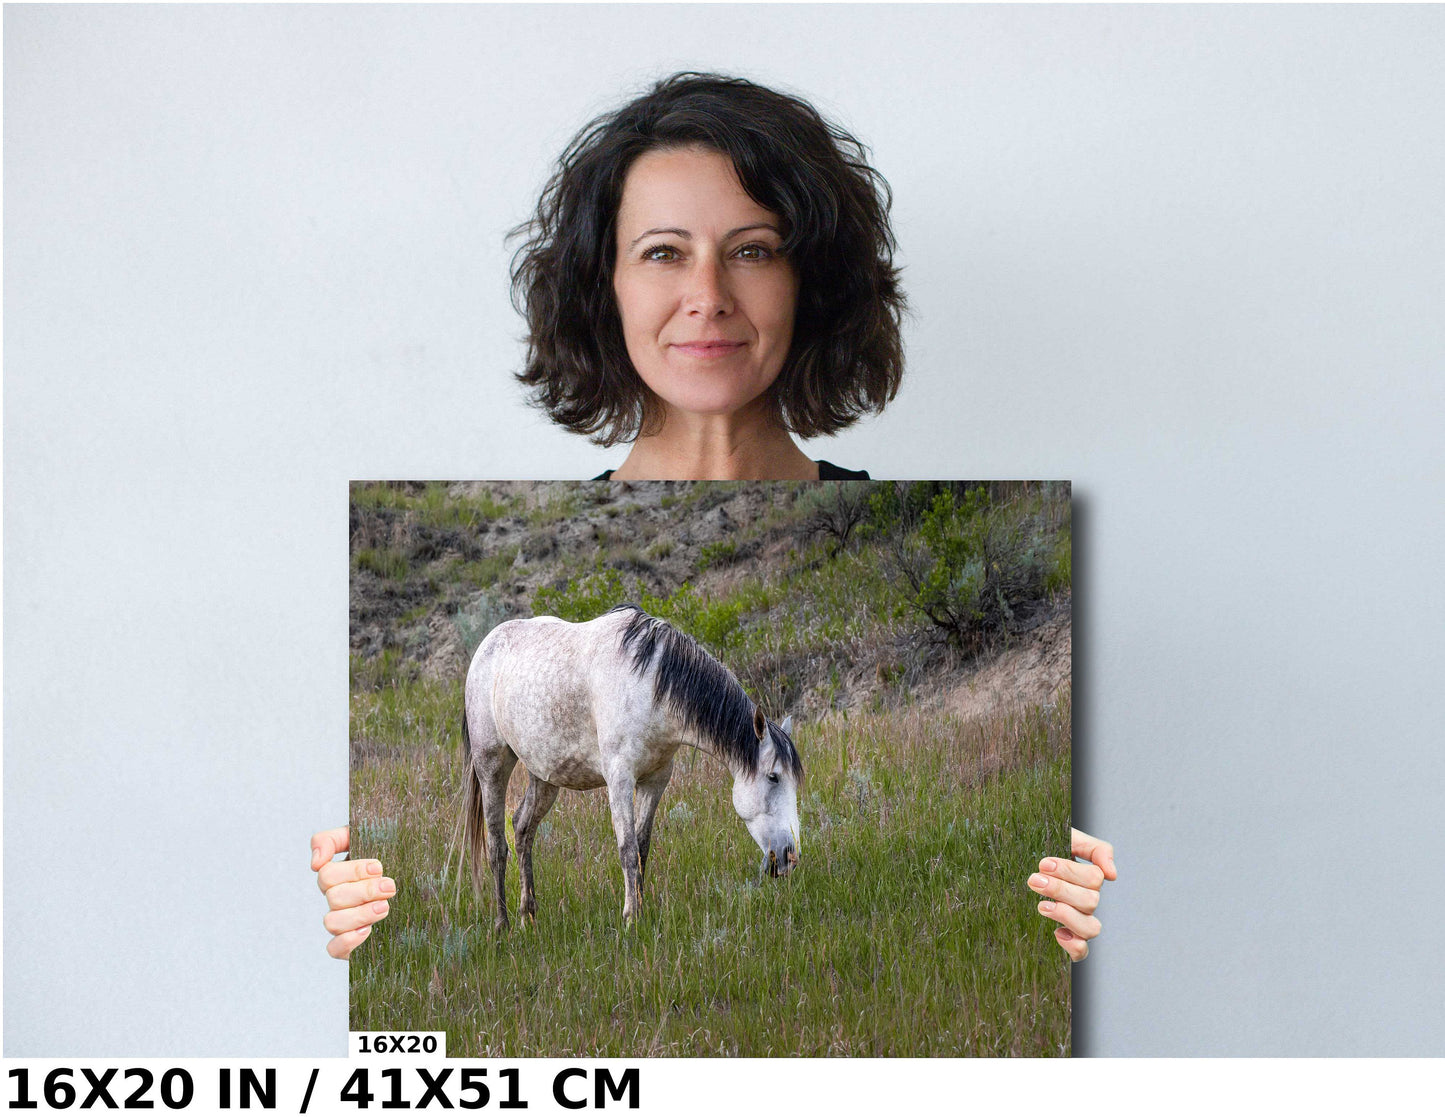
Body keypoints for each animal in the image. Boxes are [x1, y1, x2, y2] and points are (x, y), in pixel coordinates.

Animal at [462, 601, 803, 924]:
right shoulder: (620, 780)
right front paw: (630, 919)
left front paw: (641, 911)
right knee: (496, 846)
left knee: (522, 829)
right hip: (492, 765)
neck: (649, 687)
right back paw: (502, 924)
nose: (789, 857)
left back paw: (528, 916)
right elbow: (627, 849)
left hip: (543, 776)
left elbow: (642, 847)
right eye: (773, 777)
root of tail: (485, 647)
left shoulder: (655, 779)